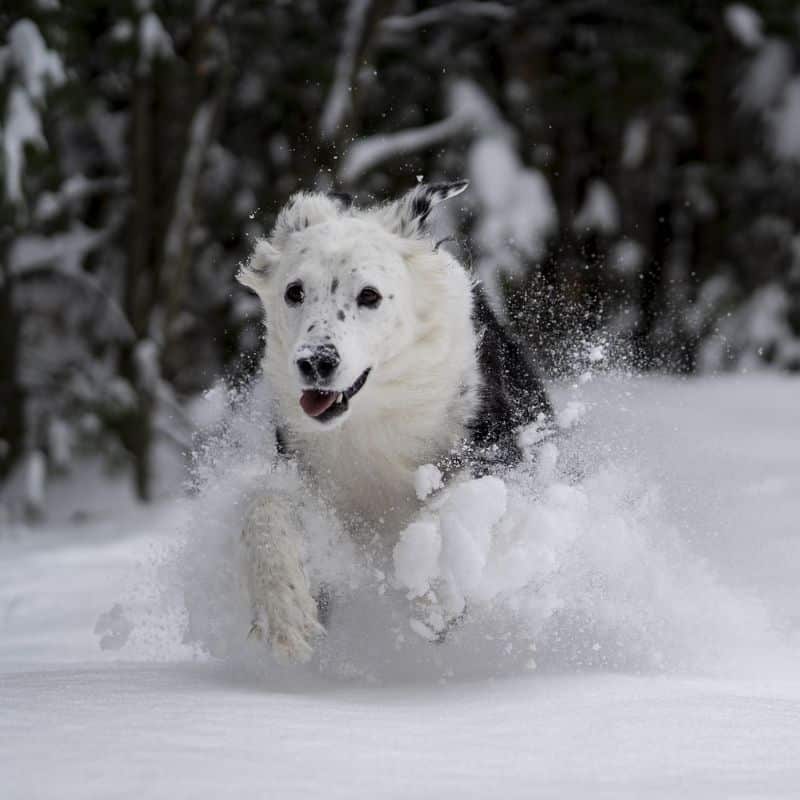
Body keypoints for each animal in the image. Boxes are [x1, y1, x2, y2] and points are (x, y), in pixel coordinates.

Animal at [238, 181, 552, 664]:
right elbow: (265, 506)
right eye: (294, 292)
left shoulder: (496, 451)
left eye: (369, 295)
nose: (315, 362)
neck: (373, 414)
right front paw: (284, 611)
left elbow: (452, 504)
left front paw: (433, 590)